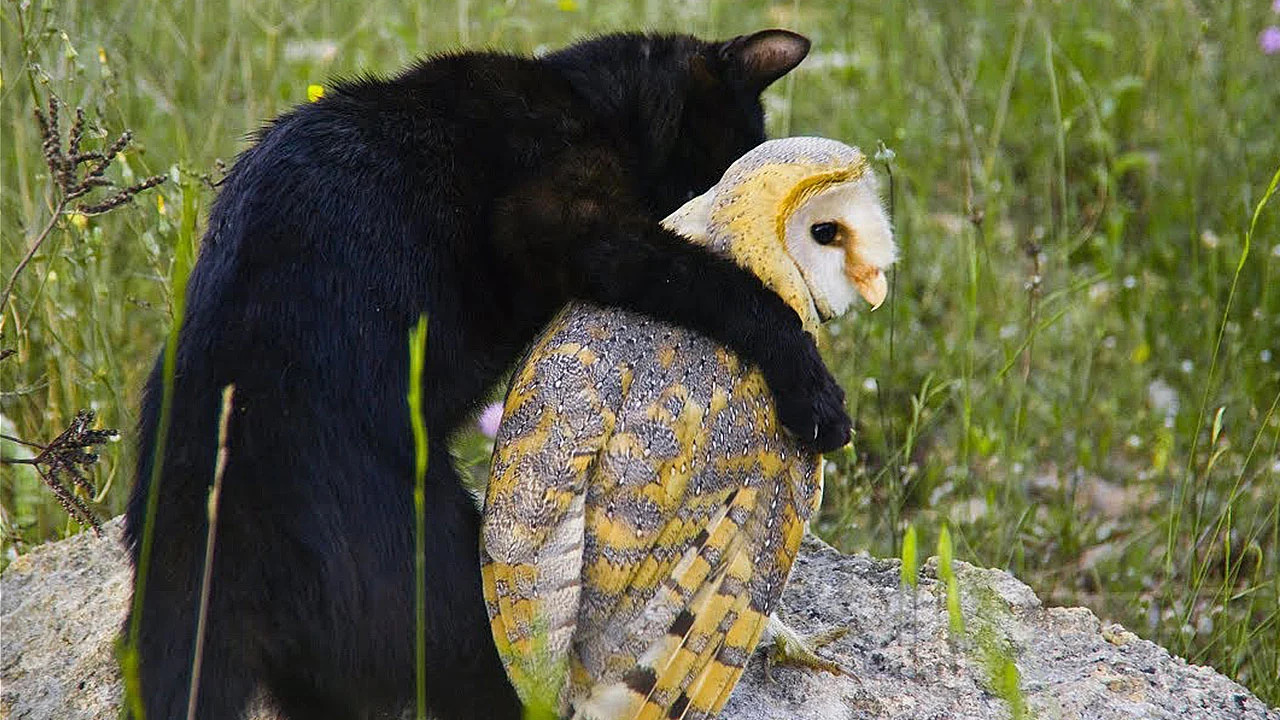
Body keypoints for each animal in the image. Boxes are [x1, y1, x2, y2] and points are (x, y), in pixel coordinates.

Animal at [122, 30, 849, 717]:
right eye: (723, 173)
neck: (591, 99)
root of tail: (206, 527)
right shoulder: (564, 219)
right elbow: (720, 284)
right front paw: (814, 390)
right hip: (461, 593)